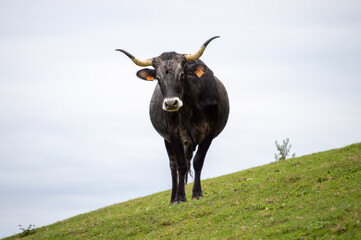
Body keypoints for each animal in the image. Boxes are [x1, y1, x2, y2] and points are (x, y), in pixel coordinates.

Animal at [115, 36, 228, 203]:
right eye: (158, 78)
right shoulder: (174, 133)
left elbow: (198, 161)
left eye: (182, 75)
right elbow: (180, 165)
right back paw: (173, 198)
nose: (170, 103)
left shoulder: (210, 131)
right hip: (167, 140)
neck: (191, 108)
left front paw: (197, 193)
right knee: (173, 166)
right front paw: (180, 197)